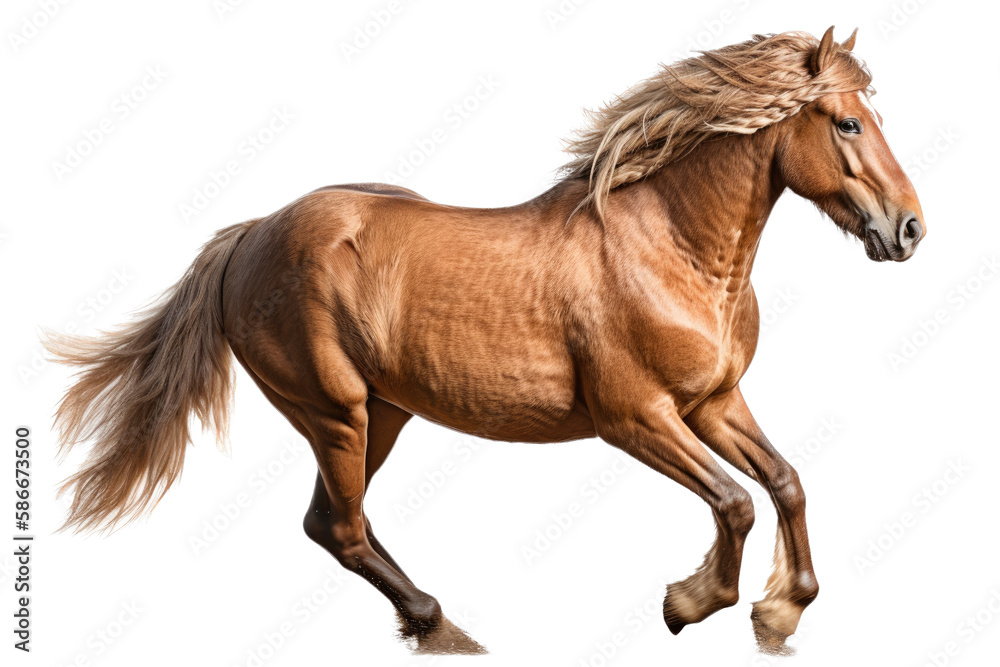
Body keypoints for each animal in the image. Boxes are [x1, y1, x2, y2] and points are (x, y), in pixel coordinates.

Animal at [46, 27, 924, 655]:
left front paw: (780, 613)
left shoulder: (712, 401)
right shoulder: (634, 417)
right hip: (336, 412)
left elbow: (785, 482)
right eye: (848, 122)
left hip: (384, 412)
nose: (909, 228)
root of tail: (250, 232)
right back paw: (444, 627)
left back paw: (429, 621)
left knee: (329, 522)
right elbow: (735, 500)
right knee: (342, 526)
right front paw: (690, 602)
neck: (669, 249)